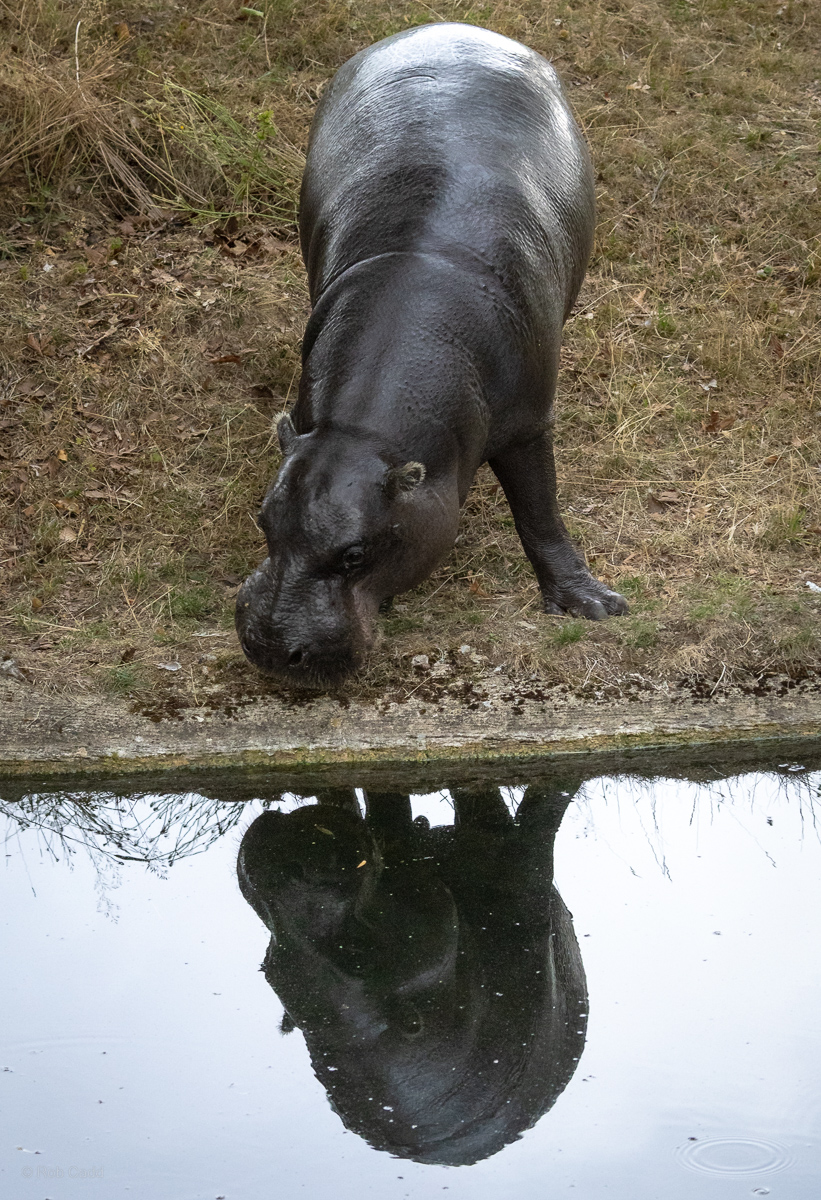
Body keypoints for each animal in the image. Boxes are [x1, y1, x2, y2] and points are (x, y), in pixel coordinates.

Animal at [236, 22, 627, 683]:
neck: (365, 435)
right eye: (264, 523)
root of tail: (453, 26)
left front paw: (593, 606)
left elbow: (540, 510)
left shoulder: (529, 423)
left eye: (355, 553)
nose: (270, 647)